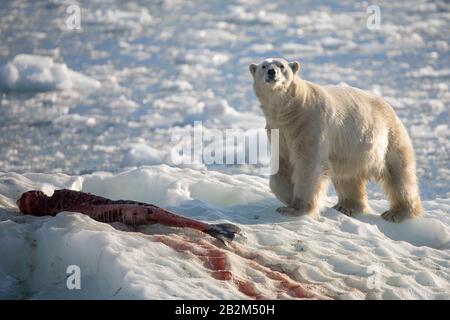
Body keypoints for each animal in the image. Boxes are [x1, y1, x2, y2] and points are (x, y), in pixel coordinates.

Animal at [250, 58, 422, 222]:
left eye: (281, 65)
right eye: (264, 66)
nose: (272, 72)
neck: (293, 109)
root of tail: (390, 108)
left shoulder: (311, 124)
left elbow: (308, 166)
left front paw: (295, 208)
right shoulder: (280, 131)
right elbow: (282, 165)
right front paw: (287, 198)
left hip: (389, 137)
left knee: (399, 175)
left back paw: (397, 213)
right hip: (351, 151)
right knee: (347, 178)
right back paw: (347, 207)